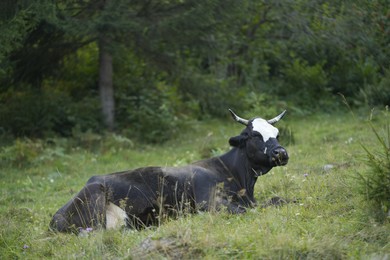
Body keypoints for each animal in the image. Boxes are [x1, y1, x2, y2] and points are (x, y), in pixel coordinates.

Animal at [49, 108, 290, 233]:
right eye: (254, 135)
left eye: (277, 133)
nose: (281, 152)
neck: (239, 180)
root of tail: (55, 217)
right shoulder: (208, 202)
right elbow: (246, 210)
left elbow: (279, 200)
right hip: (96, 197)